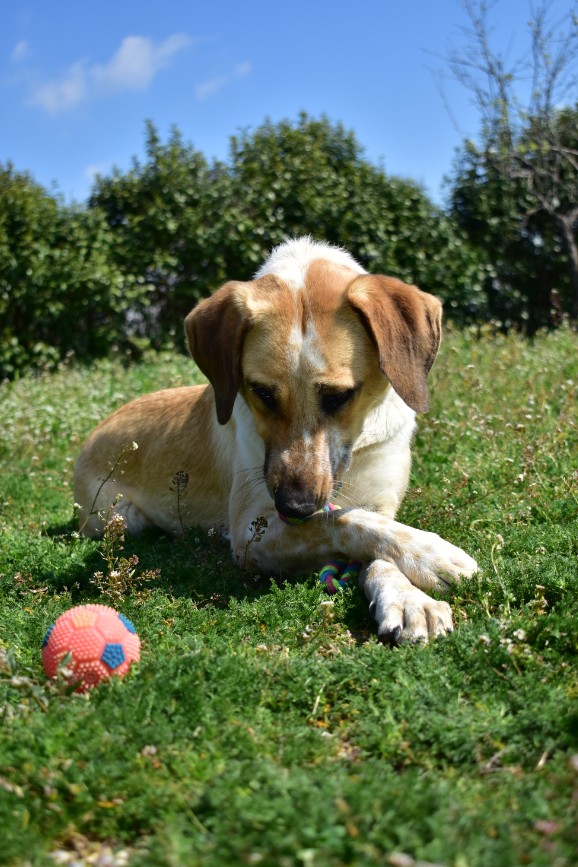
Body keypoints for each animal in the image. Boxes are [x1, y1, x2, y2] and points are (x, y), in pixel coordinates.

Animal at [74, 237, 477, 643]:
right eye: (262, 393)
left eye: (339, 396)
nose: (294, 506)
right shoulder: (251, 533)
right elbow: (343, 522)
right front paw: (433, 553)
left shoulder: (380, 502)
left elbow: (376, 540)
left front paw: (410, 596)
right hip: (120, 518)